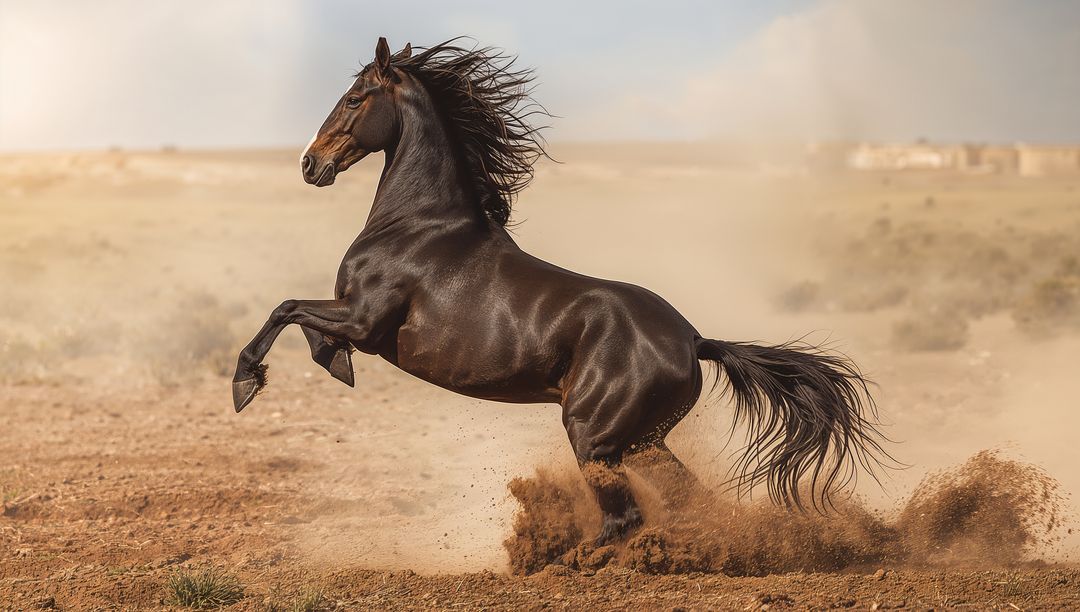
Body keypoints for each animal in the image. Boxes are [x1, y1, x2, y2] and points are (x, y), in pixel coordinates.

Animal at [232, 37, 889, 545]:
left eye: (354, 98)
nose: (310, 164)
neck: (418, 223)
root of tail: (694, 340)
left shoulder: (365, 320)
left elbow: (286, 309)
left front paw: (247, 384)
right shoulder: (356, 319)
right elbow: (300, 320)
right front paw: (330, 364)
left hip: (592, 435)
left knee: (623, 518)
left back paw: (568, 562)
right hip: (638, 442)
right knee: (686, 499)